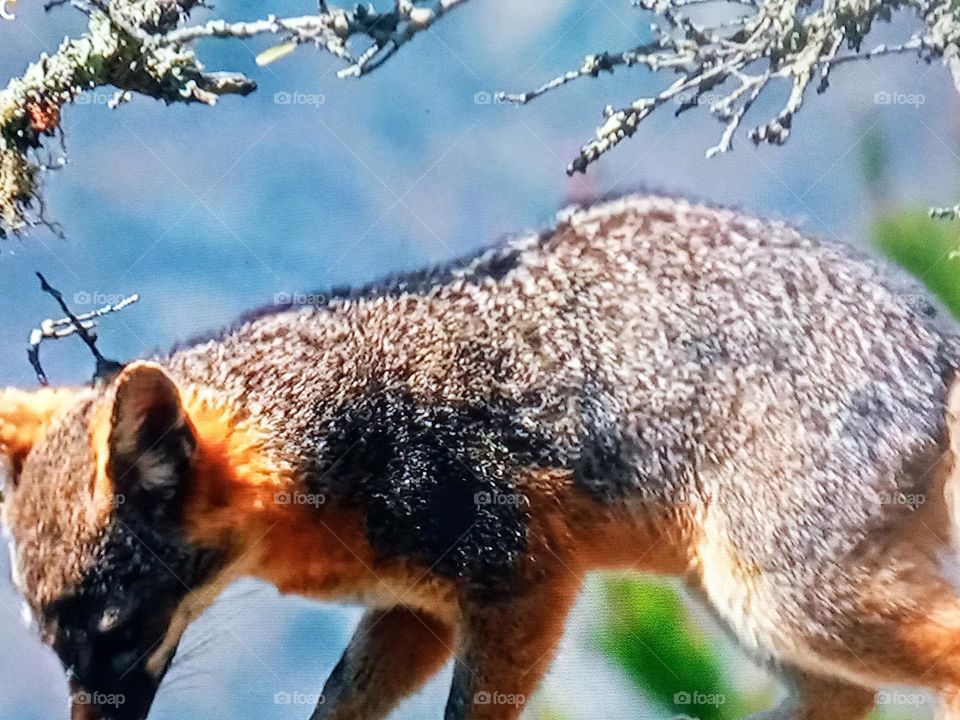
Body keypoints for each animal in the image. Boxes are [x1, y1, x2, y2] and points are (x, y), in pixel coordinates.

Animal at [4, 193, 960, 720]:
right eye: (51, 645)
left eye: (117, 634)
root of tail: (939, 334)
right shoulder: (417, 609)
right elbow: (336, 702)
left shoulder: (522, 579)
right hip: (735, 600)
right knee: (845, 698)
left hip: (779, 599)